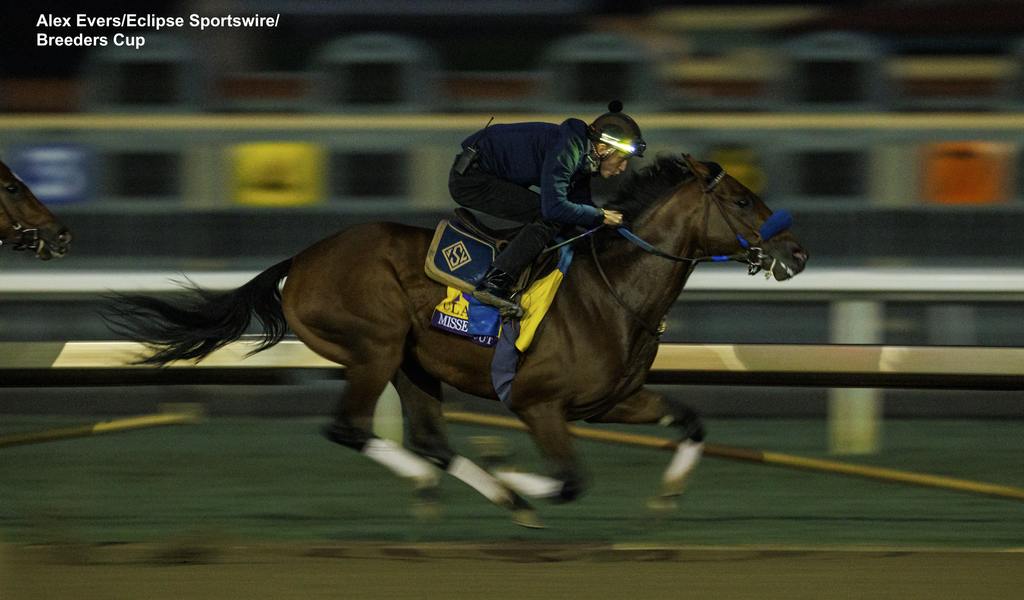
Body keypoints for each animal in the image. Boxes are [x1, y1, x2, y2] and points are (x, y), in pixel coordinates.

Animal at [105, 154, 806, 524]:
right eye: (742, 200)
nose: (796, 252)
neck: (616, 293)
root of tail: (300, 260)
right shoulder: (537, 404)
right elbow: (570, 480)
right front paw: (518, 477)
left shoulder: (613, 400)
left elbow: (691, 421)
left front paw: (669, 492)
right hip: (376, 346)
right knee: (352, 428)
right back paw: (465, 485)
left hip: (413, 365)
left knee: (432, 441)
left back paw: (478, 487)